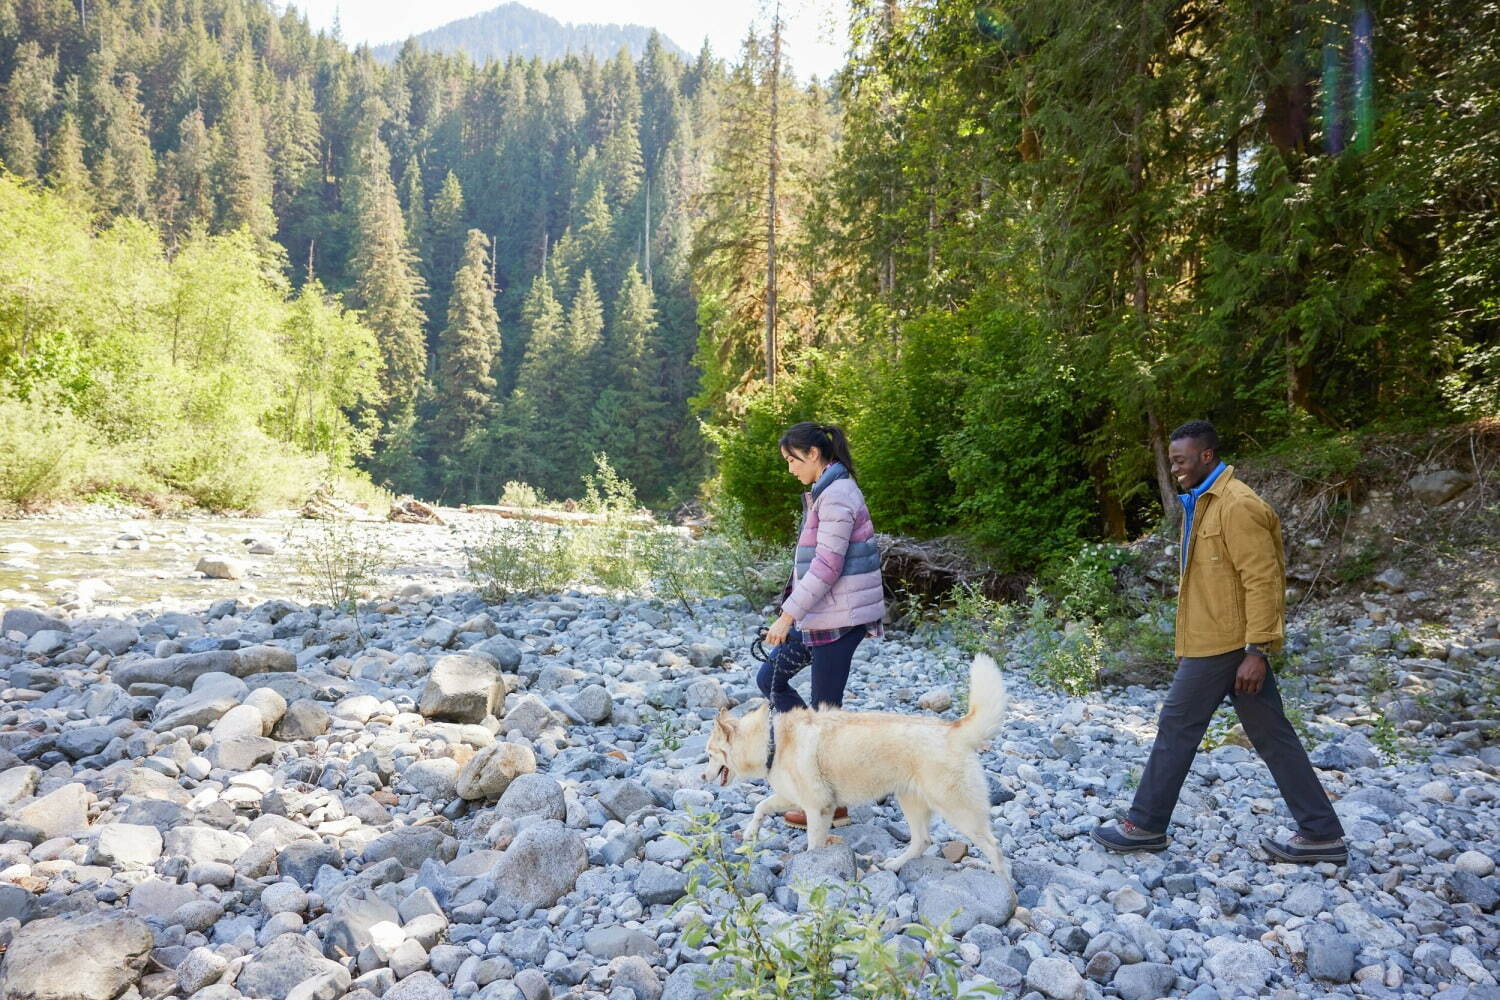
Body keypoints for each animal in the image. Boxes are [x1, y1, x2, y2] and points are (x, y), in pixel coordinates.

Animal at [699, 653, 1008, 881]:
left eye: (710, 754)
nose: (701, 776)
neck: (772, 740)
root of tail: (954, 730)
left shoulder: (818, 807)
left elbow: (813, 843)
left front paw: (808, 866)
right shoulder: (793, 798)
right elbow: (760, 807)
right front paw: (750, 833)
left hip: (958, 811)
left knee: (993, 846)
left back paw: (1002, 883)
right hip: (911, 801)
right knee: (922, 840)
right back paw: (896, 864)